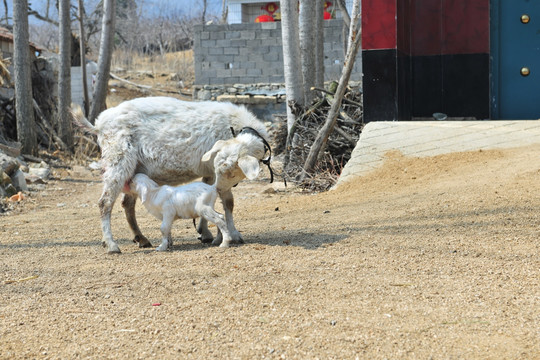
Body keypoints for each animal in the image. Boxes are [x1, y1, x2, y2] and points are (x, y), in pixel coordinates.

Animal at [73, 95, 270, 253]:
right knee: (105, 203)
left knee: (127, 204)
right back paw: (111, 244)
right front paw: (232, 235)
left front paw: (206, 233)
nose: (218, 188)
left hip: (134, 168)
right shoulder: (213, 173)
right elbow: (228, 203)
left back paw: (141, 238)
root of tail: (98, 124)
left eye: (230, 171)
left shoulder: (209, 173)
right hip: (118, 158)